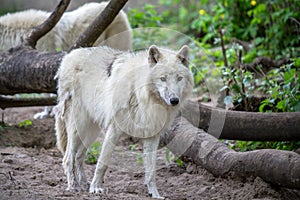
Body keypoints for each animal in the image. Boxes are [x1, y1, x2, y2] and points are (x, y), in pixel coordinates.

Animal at [54, 44, 193, 198]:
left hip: (91, 132)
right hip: (78, 127)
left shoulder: (152, 136)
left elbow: (151, 171)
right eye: (163, 78)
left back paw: (83, 184)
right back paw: (73, 187)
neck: (143, 97)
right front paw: (96, 188)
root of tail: (69, 55)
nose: (174, 100)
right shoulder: (114, 130)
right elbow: (102, 163)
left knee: (79, 156)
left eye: (179, 78)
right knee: (68, 158)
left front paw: (155, 194)